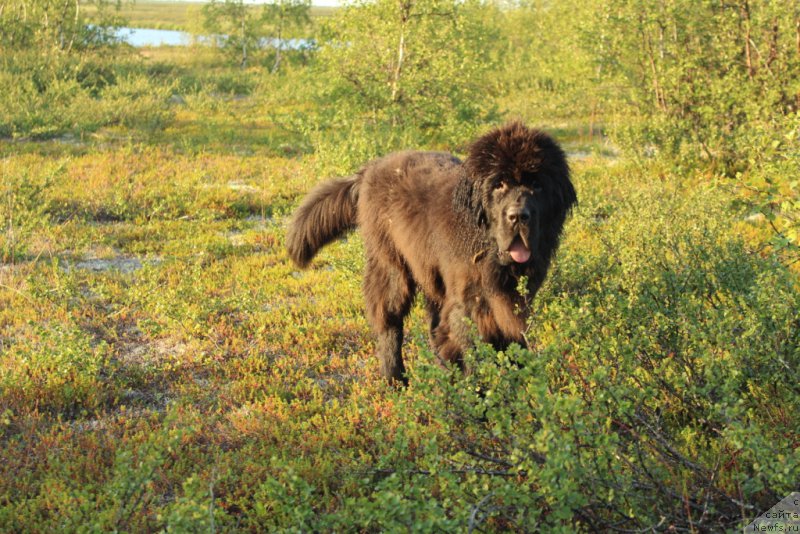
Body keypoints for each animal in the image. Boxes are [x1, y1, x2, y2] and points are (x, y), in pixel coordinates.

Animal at [288, 122, 576, 386]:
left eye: (537, 185)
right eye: (499, 185)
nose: (518, 216)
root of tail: (370, 169)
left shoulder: (513, 300)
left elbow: (512, 341)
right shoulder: (469, 302)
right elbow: (473, 349)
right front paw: (480, 395)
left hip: (429, 271)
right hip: (391, 264)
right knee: (389, 319)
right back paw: (396, 379)